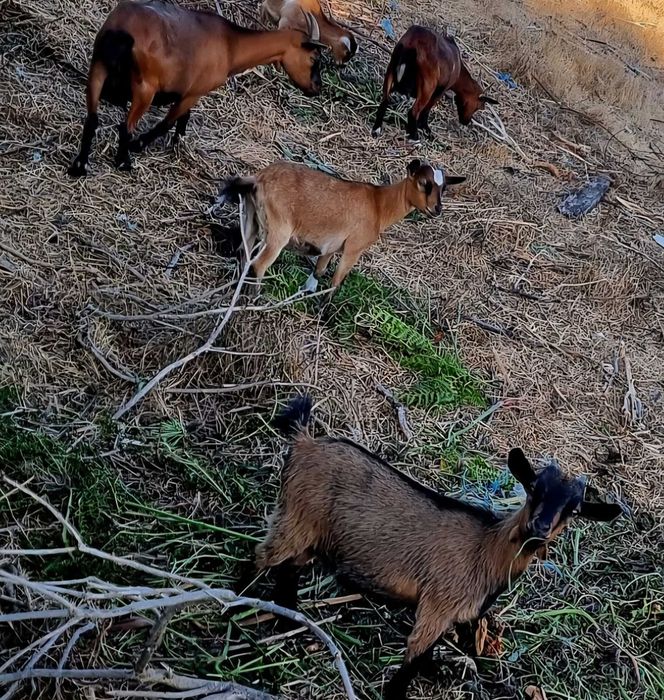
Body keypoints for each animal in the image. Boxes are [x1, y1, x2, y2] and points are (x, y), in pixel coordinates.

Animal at [68, 0, 325, 177]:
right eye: (314, 58)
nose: (317, 88)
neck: (230, 44)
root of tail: (122, 30)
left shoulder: (187, 92)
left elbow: (182, 119)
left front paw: (178, 143)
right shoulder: (194, 92)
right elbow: (168, 121)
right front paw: (139, 145)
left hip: (97, 68)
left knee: (92, 118)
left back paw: (80, 166)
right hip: (144, 87)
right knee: (126, 126)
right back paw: (123, 161)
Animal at [219, 158, 465, 293]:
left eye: (444, 188)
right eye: (424, 183)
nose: (437, 209)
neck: (378, 204)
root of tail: (259, 179)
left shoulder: (332, 246)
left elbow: (318, 273)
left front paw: (305, 294)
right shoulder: (354, 248)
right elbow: (336, 282)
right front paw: (324, 317)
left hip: (250, 218)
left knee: (243, 253)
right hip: (279, 231)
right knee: (259, 264)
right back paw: (255, 298)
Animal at [257, 395, 623, 700]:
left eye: (574, 510)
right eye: (533, 488)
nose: (540, 528)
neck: (486, 549)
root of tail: (305, 440)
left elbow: (428, 654)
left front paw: (437, 672)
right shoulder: (438, 602)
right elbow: (415, 653)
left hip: (311, 533)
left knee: (289, 567)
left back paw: (286, 620)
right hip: (296, 516)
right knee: (263, 557)